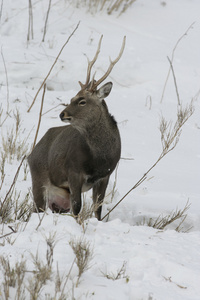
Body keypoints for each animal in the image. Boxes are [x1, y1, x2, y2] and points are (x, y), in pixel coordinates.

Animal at [28, 36, 125, 221]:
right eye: (72, 97)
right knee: (37, 210)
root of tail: (30, 154)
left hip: (59, 199)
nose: (62, 114)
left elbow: (98, 209)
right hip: (38, 180)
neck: (99, 158)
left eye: (82, 101)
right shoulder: (73, 171)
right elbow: (77, 207)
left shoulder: (106, 175)